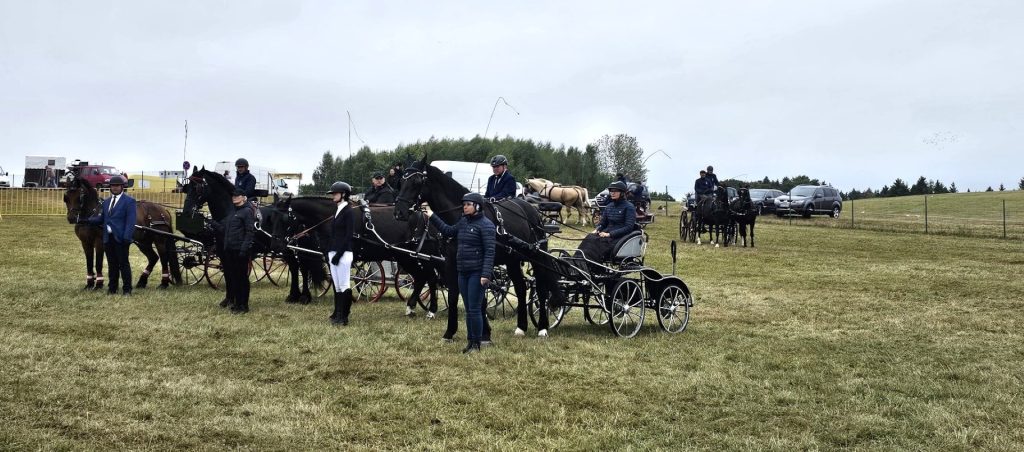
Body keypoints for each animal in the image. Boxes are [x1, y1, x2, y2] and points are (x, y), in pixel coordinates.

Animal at [395, 156, 565, 336]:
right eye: (401, 181)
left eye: (417, 181)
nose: (399, 212)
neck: (463, 218)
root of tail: (532, 211)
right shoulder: (452, 263)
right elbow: (454, 295)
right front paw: (451, 331)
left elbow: (479, 298)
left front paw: (483, 331)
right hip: (512, 260)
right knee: (520, 287)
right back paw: (521, 327)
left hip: (536, 257)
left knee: (540, 288)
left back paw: (543, 328)